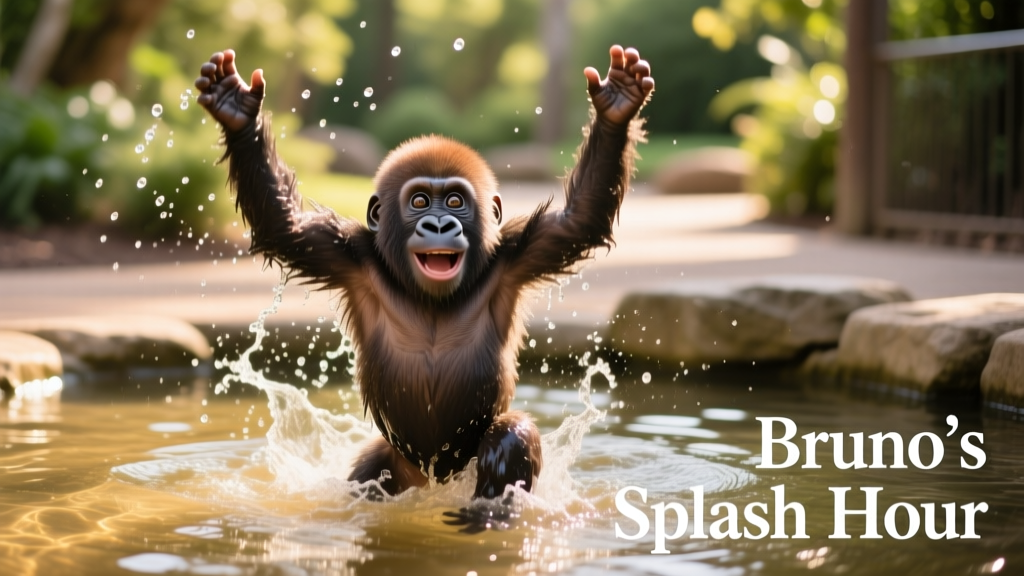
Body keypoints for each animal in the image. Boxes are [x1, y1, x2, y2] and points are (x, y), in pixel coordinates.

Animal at [195, 45, 653, 499]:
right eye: (418, 201)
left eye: (454, 202)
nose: (438, 225)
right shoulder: (345, 254)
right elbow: (282, 226)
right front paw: (237, 110)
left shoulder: (519, 253)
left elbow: (580, 221)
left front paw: (618, 105)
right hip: (393, 465)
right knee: (372, 470)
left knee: (511, 436)